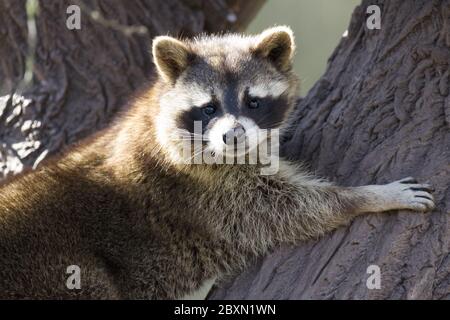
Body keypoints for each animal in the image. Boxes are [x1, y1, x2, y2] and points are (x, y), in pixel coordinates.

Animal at [0, 26, 436, 298]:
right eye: (208, 108)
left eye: (253, 101)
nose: (233, 136)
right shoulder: (198, 190)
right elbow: (284, 211)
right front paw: (367, 196)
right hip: (61, 272)